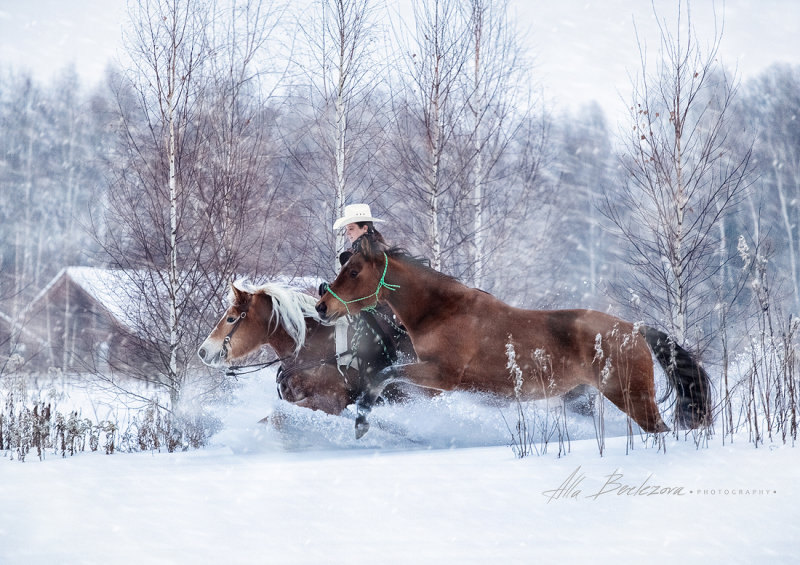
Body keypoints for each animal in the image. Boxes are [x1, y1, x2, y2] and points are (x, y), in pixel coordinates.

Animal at [314, 234, 712, 436]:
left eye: (353, 271)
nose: (322, 307)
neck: (442, 312)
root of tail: (635, 330)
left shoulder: (441, 378)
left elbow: (383, 375)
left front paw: (362, 421)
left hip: (632, 397)